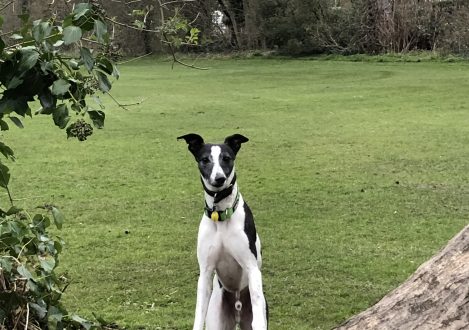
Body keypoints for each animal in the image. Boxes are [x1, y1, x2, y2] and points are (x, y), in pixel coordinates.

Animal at [177, 133, 266, 328]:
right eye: (205, 160)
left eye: (226, 158)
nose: (219, 178)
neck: (221, 215)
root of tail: (238, 306)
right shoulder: (205, 272)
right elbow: (198, 315)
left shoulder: (252, 267)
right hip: (217, 316)